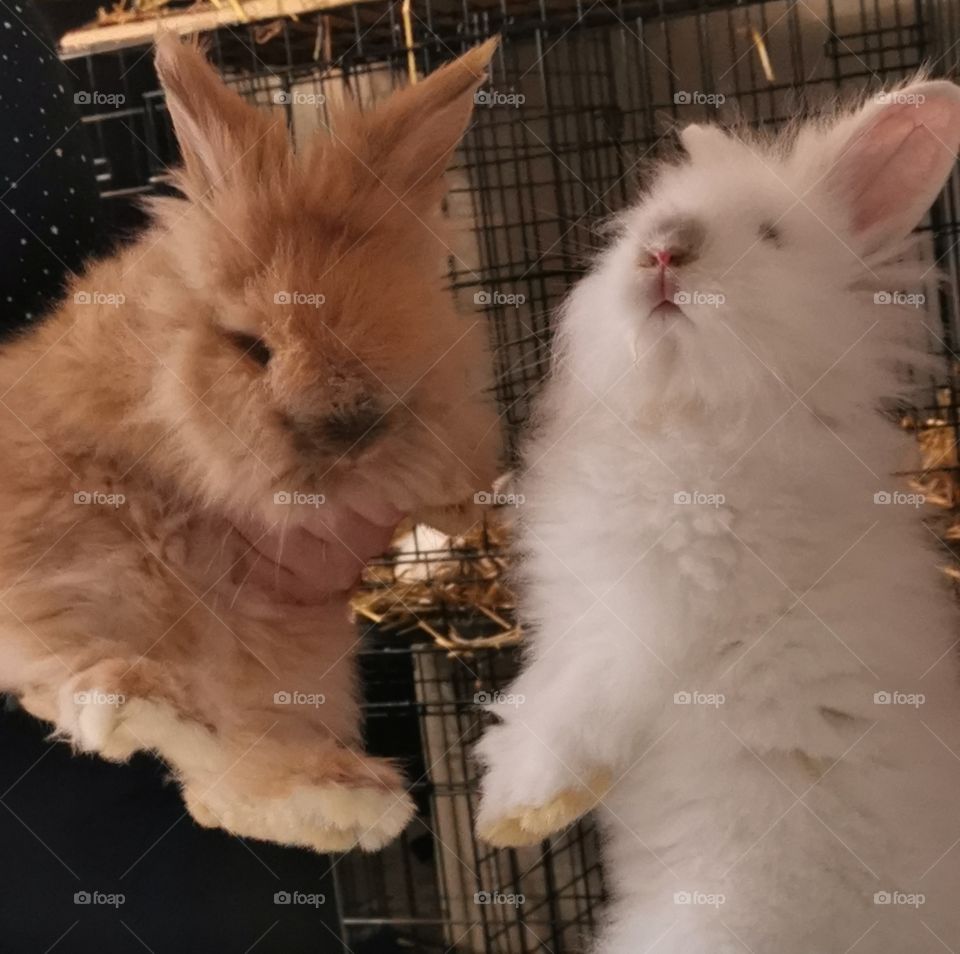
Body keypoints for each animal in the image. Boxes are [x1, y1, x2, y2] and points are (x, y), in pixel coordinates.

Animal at [0, 35, 501, 855]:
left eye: (396, 321)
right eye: (251, 347)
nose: (349, 429)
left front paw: (468, 508)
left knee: (227, 781)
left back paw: (357, 804)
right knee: (121, 712)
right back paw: (132, 700)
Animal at [475, 78, 960, 952]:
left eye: (770, 236)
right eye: (639, 220)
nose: (666, 249)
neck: (693, 416)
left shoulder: (661, 612)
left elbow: (579, 702)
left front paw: (520, 807)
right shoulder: (576, 610)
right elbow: (543, 687)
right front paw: (506, 807)